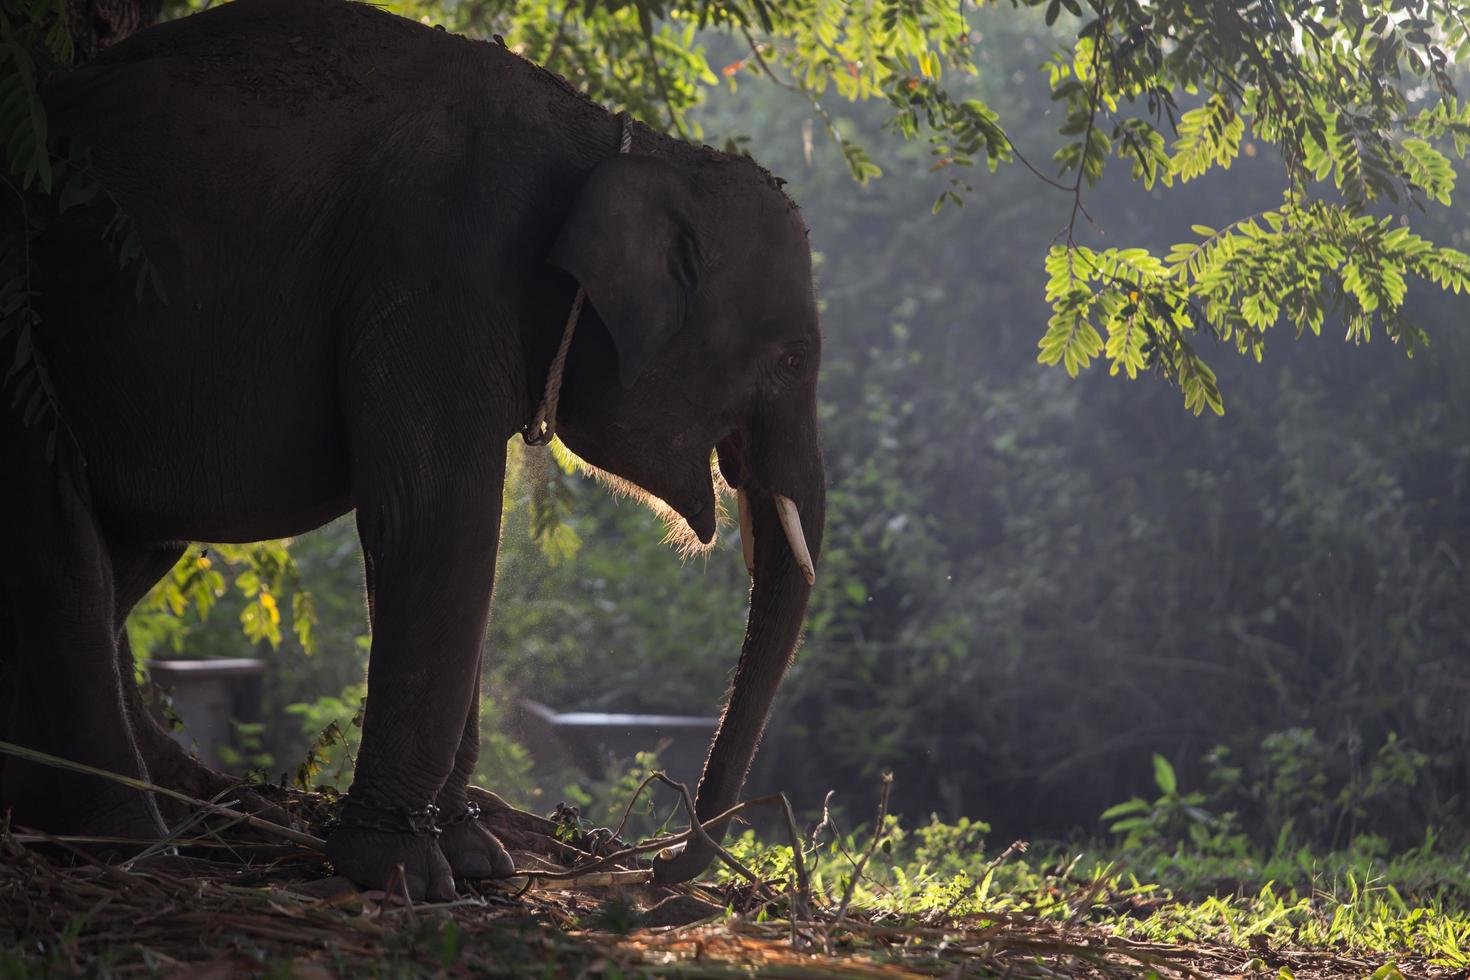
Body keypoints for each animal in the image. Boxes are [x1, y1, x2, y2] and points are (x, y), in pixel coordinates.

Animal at [0, 0, 829, 899]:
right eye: (794, 361)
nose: (659, 870)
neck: (620, 143)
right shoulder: (440, 271)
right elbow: (438, 522)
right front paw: (402, 874)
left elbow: (455, 536)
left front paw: (475, 859)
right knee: (55, 547)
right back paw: (132, 850)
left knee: (129, 549)